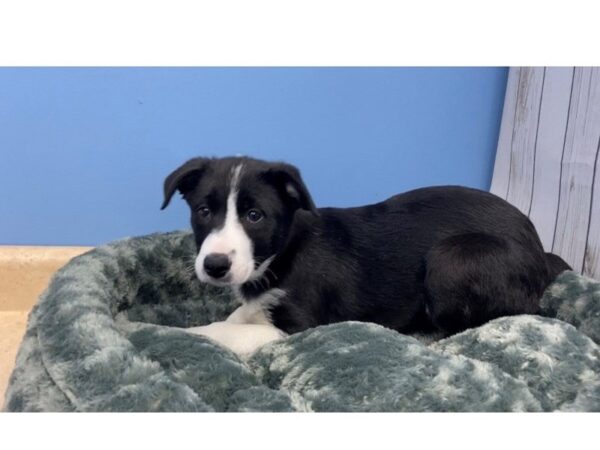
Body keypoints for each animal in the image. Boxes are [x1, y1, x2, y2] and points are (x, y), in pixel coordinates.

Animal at [161, 157, 572, 356]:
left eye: (254, 215)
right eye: (203, 211)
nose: (215, 266)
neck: (283, 253)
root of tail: (539, 250)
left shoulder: (300, 326)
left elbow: (224, 330)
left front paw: (166, 332)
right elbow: (236, 316)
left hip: (452, 258)